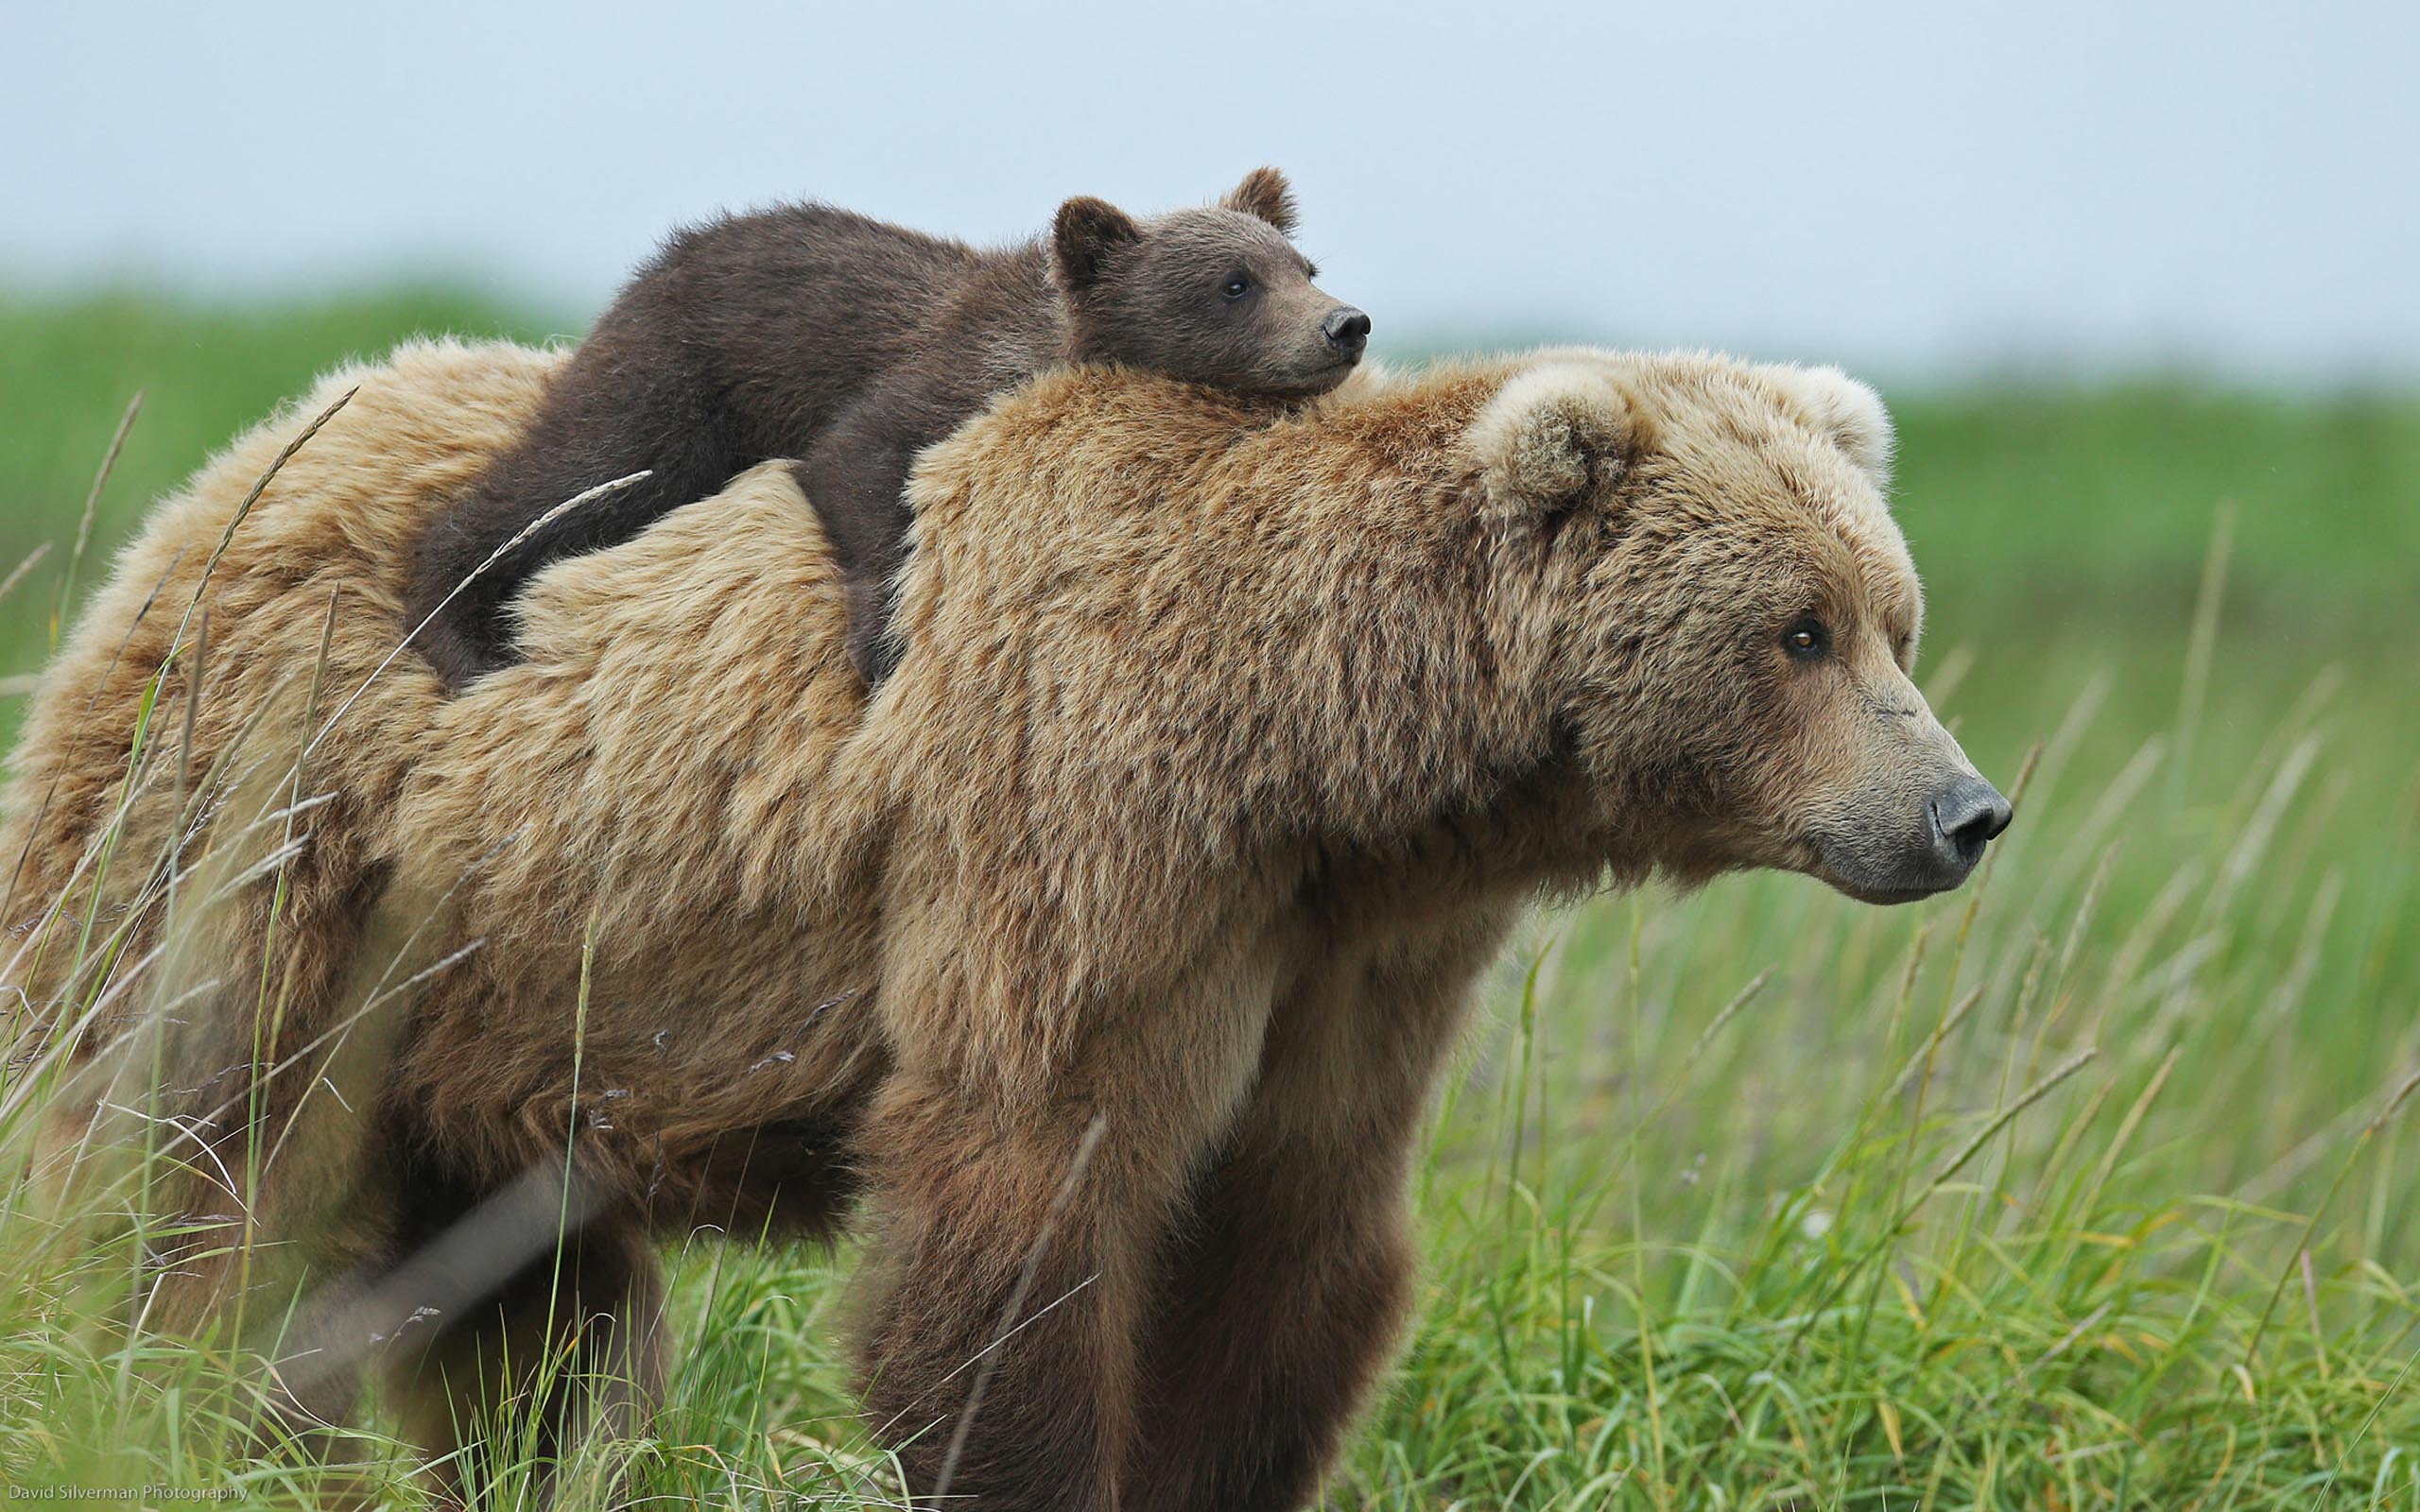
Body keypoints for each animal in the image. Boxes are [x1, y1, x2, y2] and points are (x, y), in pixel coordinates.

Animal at [2, 339, 2010, 1512]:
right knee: (188, 1189)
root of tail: (227, 468)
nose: (1963, 812)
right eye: (1800, 630)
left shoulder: (1345, 958)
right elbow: (1022, 1209)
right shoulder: (1080, 836)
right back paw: (172, 1428)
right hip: (272, 846)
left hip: (494, 1005)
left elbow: (1287, 1247)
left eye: (1894, 614)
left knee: (523, 1308)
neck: (1318, 758)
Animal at [403, 167, 1369, 691]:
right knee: (578, 477)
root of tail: (659, 260)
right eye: (1234, 283)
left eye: (1304, 264)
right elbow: (856, 463)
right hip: (678, 379)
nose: (1344, 324)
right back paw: (458, 633)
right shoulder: (934, 378)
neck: (1044, 342)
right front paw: (883, 638)